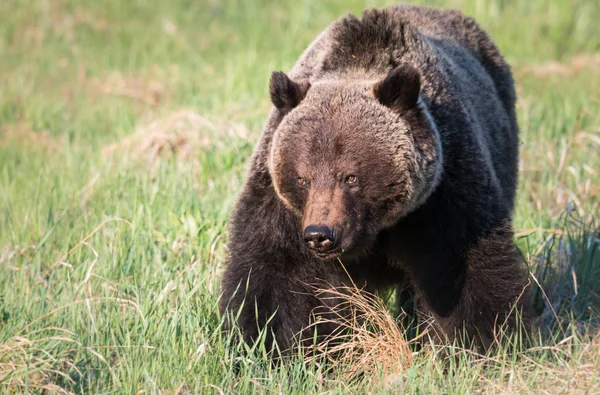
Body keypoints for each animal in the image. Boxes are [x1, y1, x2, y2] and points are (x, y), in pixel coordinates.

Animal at [219, 3, 528, 356]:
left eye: (350, 176)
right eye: (302, 179)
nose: (320, 235)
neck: (374, 232)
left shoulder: (444, 194)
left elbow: (464, 272)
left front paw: (476, 343)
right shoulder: (280, 210)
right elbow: (275, 279)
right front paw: (266, 345)